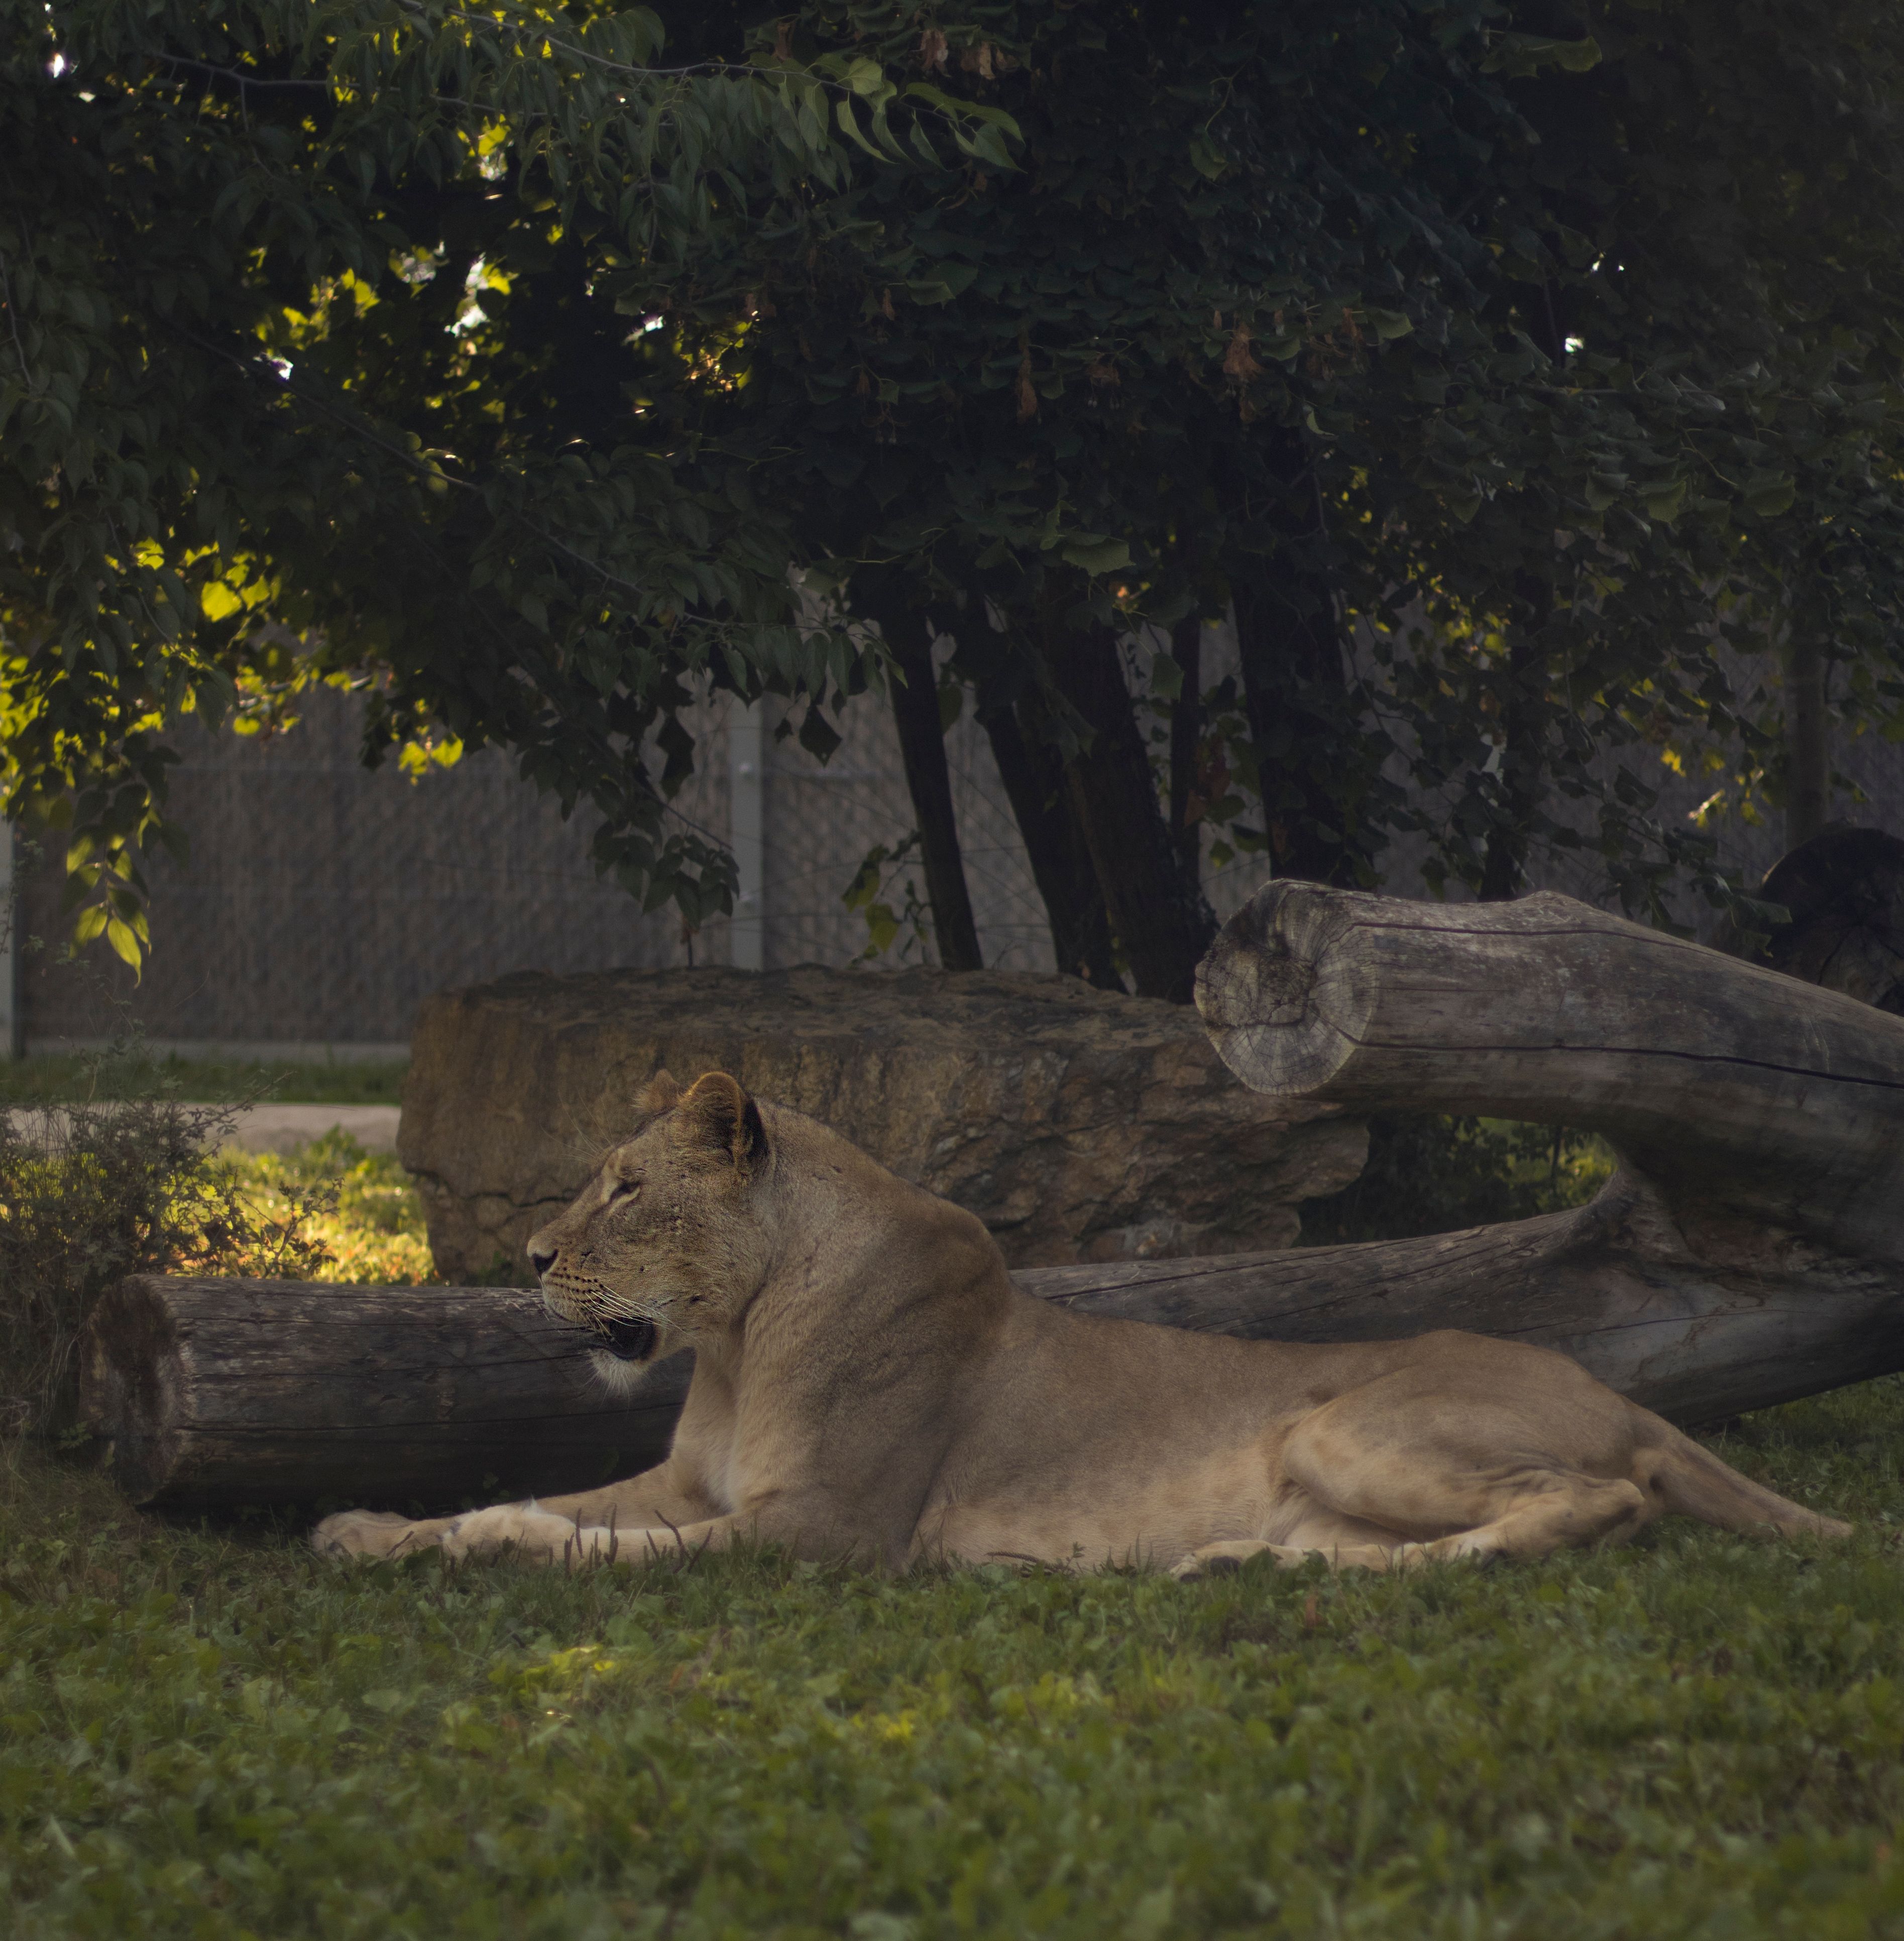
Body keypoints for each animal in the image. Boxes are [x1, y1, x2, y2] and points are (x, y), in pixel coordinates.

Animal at [312, 1070, 1851, 1576]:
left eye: (627, 1187)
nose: (527, 1254)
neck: (738, 1343)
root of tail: (1615, 1390)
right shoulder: (690, 1484)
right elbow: (532, 1501)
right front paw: (368, 1531)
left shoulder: (825, 1533)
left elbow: (575, 1541)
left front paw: (469, 1549)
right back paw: (1237, 1567)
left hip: (1347, 1427)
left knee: (1594, 1503)